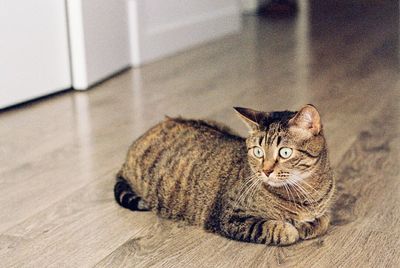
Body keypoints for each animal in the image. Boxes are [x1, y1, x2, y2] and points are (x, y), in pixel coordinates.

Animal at [114, 104, 336, 245]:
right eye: (258, 152)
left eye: (285, 152)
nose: (265, 171)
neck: (306, 192)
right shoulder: (228, 217)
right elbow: (274, 229)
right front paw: (293, 228)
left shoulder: (323, 211)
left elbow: (325, 220)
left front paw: (308, 224)